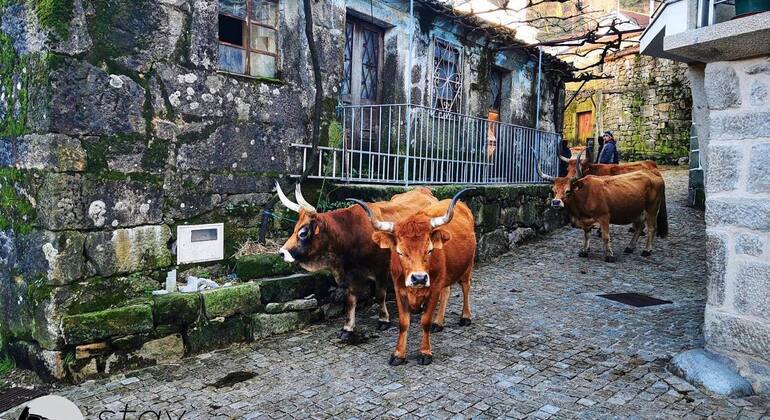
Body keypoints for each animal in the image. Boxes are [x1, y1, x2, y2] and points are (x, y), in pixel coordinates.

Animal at [276, 183, 436, 342]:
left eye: (303, 233)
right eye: (294, 229)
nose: (282, 253)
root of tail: (423, 190)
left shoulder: (381, 270)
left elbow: (380, 295)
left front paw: (384, 320)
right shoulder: (350, 277)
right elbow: (351, 301)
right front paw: (348, 328)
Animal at [350, 189, 474, 366]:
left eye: (429, 250)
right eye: (400, 252)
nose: (419, 278)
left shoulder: (434, 288)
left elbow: (425, 321)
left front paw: (425, 352)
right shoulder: (399, 289)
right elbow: (403, 323)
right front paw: (399, 354)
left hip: (468, 265)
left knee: (465, 287)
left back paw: (465, 317)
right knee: (447, 291)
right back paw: (439, 322)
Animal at [536, 151, 664, 262]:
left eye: (568, 191)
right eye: (554, 190)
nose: (556, 202)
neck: (584, 194)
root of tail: (654, 174)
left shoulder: (604, 217)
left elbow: (605, 236)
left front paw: (609, 255)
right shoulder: (585, 220)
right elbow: (586, 235)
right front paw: (584, 251)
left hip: (652, 209)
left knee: (651, 228)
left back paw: (647, 250)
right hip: (638, 210)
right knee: (640, 226)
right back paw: (630, 247)